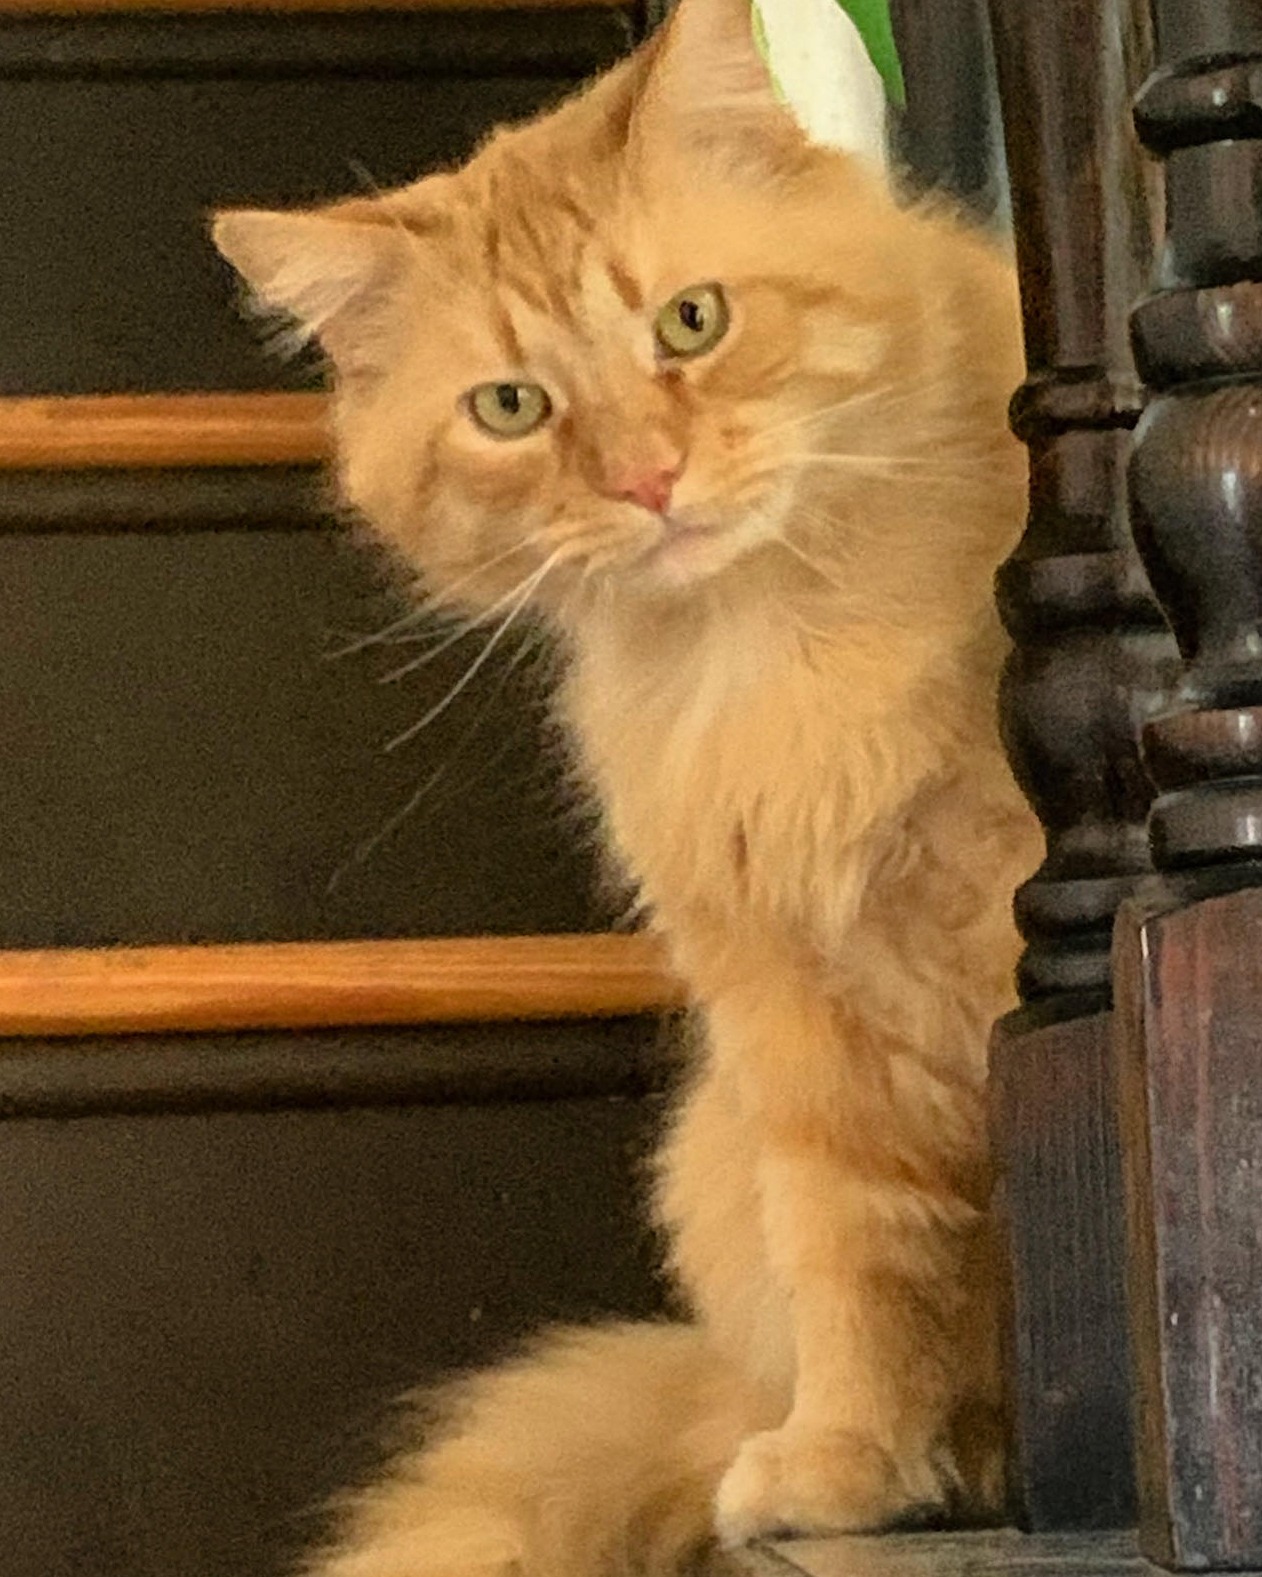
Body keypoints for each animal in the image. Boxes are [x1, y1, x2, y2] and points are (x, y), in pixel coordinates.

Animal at [214, 0, 1040, 1569]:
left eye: (690, 322)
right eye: (512, 407)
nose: (648, 480)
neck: (782, 644)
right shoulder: (793, 1018)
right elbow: (862, 1263)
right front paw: (853, 1456)